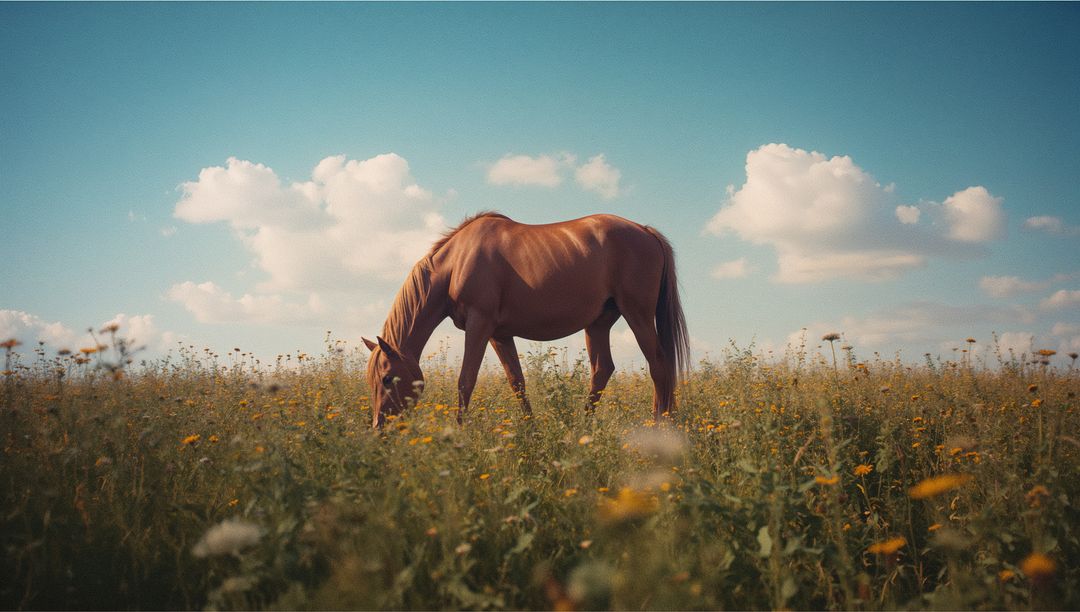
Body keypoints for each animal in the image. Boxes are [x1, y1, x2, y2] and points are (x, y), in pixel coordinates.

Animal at [362, 212, 689, 428]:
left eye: (387, 378)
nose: (380, 428)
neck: (456, 263)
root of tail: (645, 231)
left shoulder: (479, 326)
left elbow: (466, 380)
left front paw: (459, 431)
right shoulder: (499, 334)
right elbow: (516, 381)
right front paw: (531, 430)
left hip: (638, 315)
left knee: (659, 365)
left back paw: (660, 425)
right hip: (598, 323)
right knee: (603, 370)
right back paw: (582, 428)